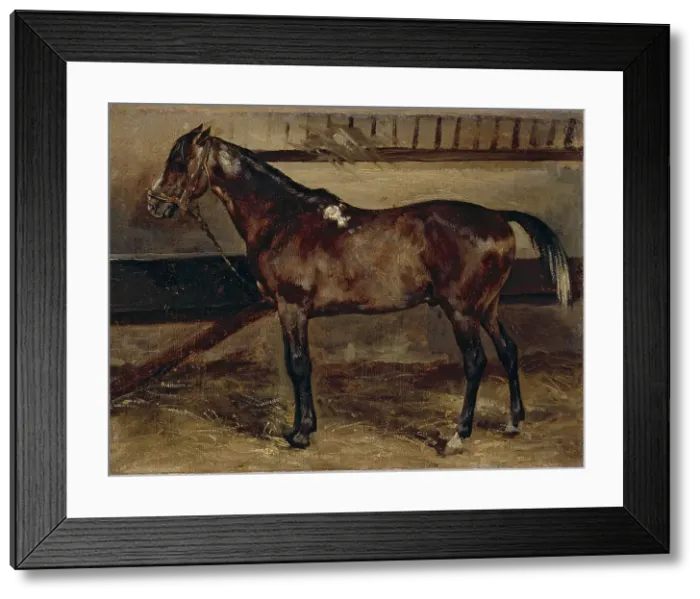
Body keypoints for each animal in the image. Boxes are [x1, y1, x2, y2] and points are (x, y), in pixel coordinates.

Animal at [146, 124, 572, 454]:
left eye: (180, 162)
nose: (154, 204)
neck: (283, 218)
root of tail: (498, 216)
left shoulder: (292, 307)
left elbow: (298, 365)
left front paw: (301, 435)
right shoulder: (289, 310)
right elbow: (298, 365)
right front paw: (301, 427)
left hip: (462, 311)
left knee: (476, 362)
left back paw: (457, 436)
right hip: (488, 307)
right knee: (509, 352)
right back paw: (513, 423)